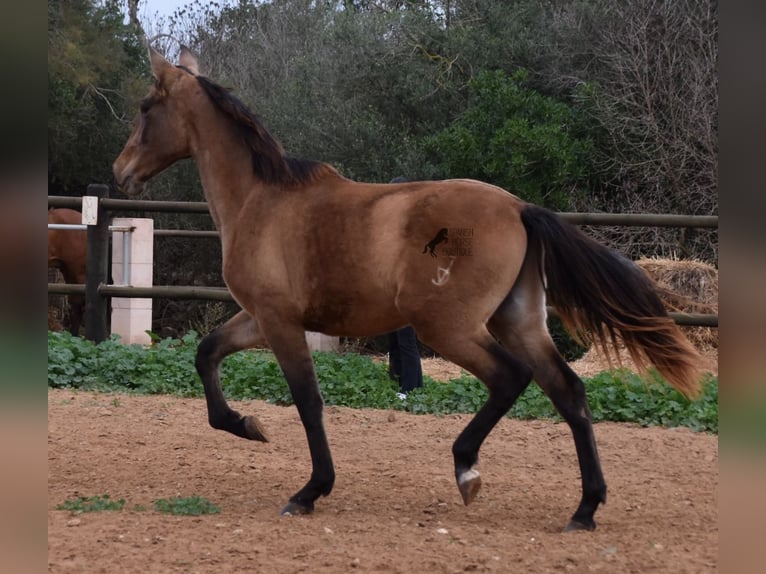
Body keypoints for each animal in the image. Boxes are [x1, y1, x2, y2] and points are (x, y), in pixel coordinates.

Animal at [111, 47, 704, 532]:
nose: (120, 171)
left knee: (511, 379)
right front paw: (246, 425)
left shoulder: (279, 322)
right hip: (518, 320)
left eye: (145, 106)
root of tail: (519, 207)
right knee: (569, 392)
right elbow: (207, 354)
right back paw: (585, 509)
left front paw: (309, 491)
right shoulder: (258, 317)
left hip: (448, 326)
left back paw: (467, 471)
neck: (261, 200)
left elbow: (308, 400)